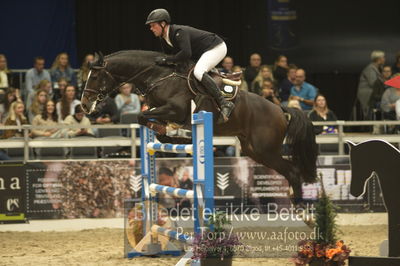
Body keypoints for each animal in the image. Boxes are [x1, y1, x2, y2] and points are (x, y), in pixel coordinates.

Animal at [81, 50, 318, 201]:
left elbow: (142, 116)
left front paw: (178, 137)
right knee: (289, 171)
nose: (84, 105)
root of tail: (280, 109)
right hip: (255, 151)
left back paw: (300, 210)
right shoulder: (163, 110)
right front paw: (172, 135)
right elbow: (153, 128)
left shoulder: (175, 109)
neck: (158, 76)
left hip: (265, 150)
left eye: (95, 77)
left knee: (293, 171)